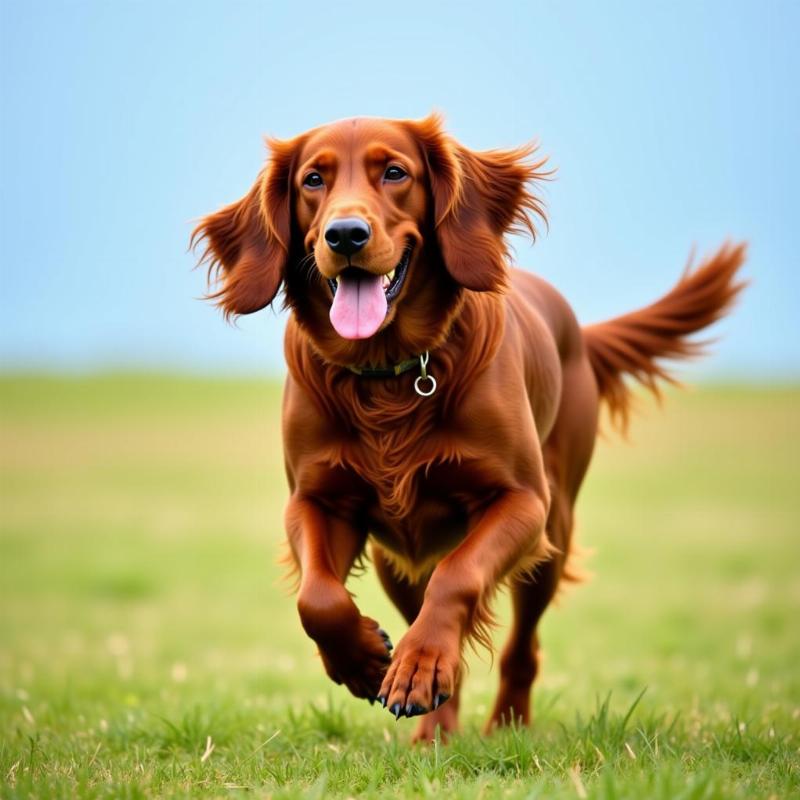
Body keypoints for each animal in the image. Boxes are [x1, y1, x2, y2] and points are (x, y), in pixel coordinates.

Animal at [192, 114, 744, 744]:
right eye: (312, 180)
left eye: (395, 172)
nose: (346, 235)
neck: (388, 372)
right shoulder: (317, 501)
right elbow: (318, 597)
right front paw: (363, 661)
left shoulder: (522, 502)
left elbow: (457, 579)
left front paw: (419, 663)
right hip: (399, 556)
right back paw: (432, 728)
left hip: (551, 538)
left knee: (521, 648)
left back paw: (503, 722)